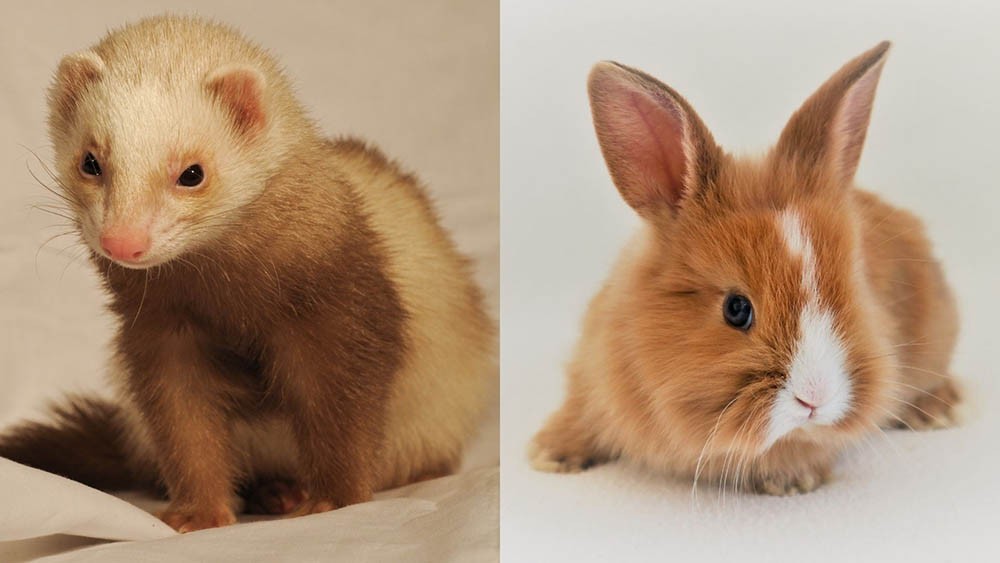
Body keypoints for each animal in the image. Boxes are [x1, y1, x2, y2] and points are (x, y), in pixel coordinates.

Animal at [530, 42, 960, 495]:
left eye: (853, 294)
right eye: (736, 309)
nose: (815, 399)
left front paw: (793, 480)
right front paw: (549, 453)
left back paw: (938, 410)